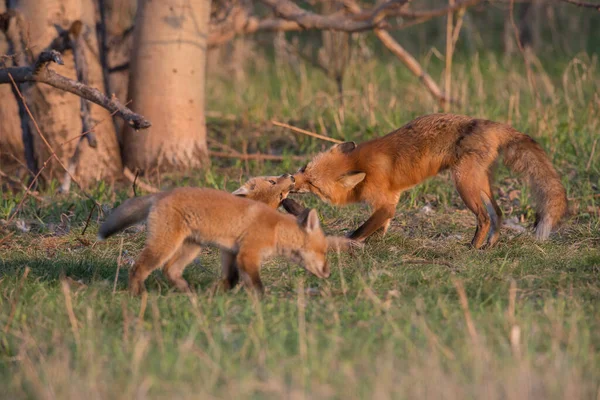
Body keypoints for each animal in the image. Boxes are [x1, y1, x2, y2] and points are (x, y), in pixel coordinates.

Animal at [99, 187, 342, 294]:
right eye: (324, 252)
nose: (329, 273)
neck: (275, 230)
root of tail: (162, 193)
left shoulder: (231, 252)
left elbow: (230, 279)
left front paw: (215, 295)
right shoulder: (247, 254)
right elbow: (256, 284)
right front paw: (261, 301)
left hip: (191, 247)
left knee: (170, 270)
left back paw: (189, 294)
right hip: (164, 246)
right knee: (138, 268)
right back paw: (138, 295)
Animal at [290, 112, 568, 248]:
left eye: (313, 184)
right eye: (305, 169)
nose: (291, 179)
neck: (360, 163)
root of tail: (488, 123)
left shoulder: (385, 201)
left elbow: (362, 229)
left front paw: (351, 243)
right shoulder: (392, 198)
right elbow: (382, 225)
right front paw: (378, 241)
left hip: (464, 183)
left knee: (484, 217)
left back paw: (472, 248)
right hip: (481, 182)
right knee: (497, 213)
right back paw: (490, 245)